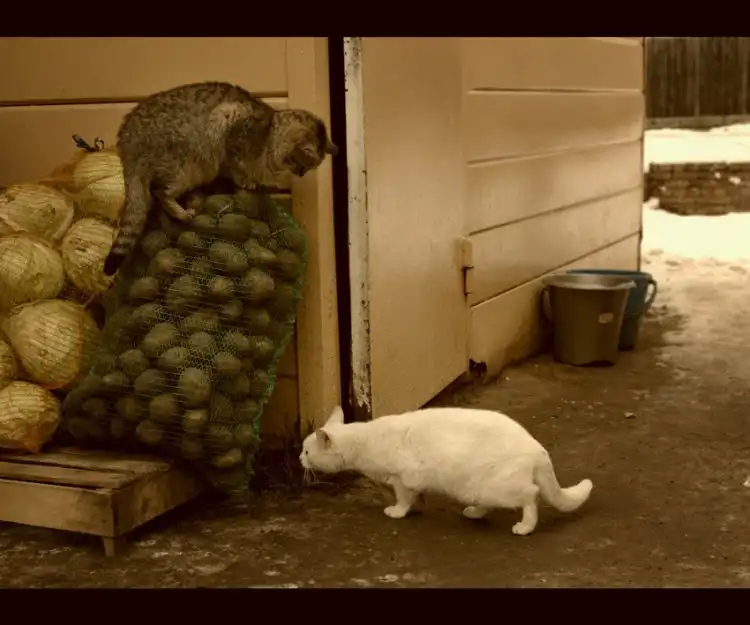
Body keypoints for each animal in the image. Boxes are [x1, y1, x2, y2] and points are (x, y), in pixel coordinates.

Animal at [102, 81, 337, 276]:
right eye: (302, 165)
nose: (301, 174)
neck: (270, 136)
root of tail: (127, 142)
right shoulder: (229, 122)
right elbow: (234, 164)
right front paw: (244, 178)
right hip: (186, 167)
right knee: (160, 193)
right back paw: (180, 211)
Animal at [300, 405, 593, 536]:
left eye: (306, 451)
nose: (298, 458)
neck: (364, 440)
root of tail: (538, 448)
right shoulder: (410, 480)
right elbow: (414, 496)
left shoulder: (402, 477)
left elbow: (402, 498)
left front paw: (398, 511)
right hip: (476, 488)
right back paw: (474, 513)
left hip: (497, 486)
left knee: (531, 495)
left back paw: (525, 526)